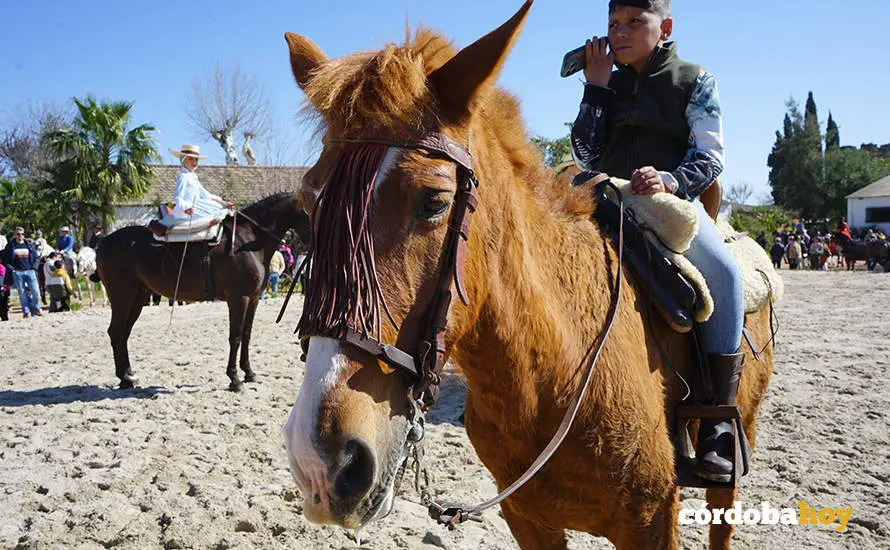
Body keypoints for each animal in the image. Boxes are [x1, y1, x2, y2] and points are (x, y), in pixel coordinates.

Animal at [96, 192, 310, 391]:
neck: (247, 241)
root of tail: (104, 242)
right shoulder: (238, 299)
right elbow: (235, 337)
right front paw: (234, 379)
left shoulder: (254, 299)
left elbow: (247, 335)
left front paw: (249, 373)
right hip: (122, 296)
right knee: (116, 332)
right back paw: (125, 378)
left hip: (137, 297)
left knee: (124, 333)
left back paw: (129, 376)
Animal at [280, 3, 775, 549]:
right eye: (308, 202)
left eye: (434, 202)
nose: (320, 462)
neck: (553, 370)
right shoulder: (529, 520)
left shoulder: (651, 521)